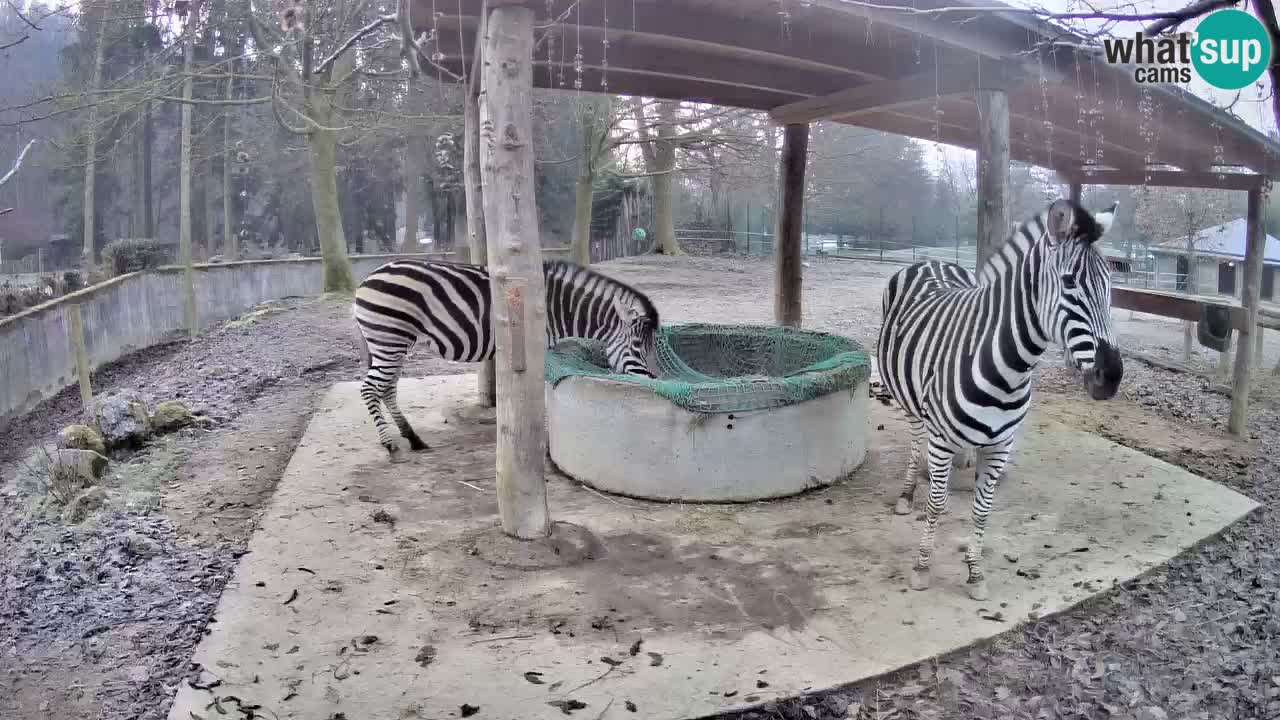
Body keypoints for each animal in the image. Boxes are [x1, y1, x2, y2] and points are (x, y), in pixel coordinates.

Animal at [358, 257, 665, 458]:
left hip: (394, 343)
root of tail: (368, 277)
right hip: (389, 339)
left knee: (387, 389)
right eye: (638, 346)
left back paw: (413, 437)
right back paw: (389, 444)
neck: (559, 309)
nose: (656, 381)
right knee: (370, 388)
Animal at [875, 197, 1126, 599]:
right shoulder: (941, 438)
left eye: (1110, 286)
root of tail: (930, 261)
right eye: (1069, 283)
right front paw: (921, 568)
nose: (1111, 378)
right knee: (915, 442)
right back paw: (909, 491)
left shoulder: (1000, 445)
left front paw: (975, 574)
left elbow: (982, 509)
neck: (1009, 369)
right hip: (907, 397)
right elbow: (936, 504)